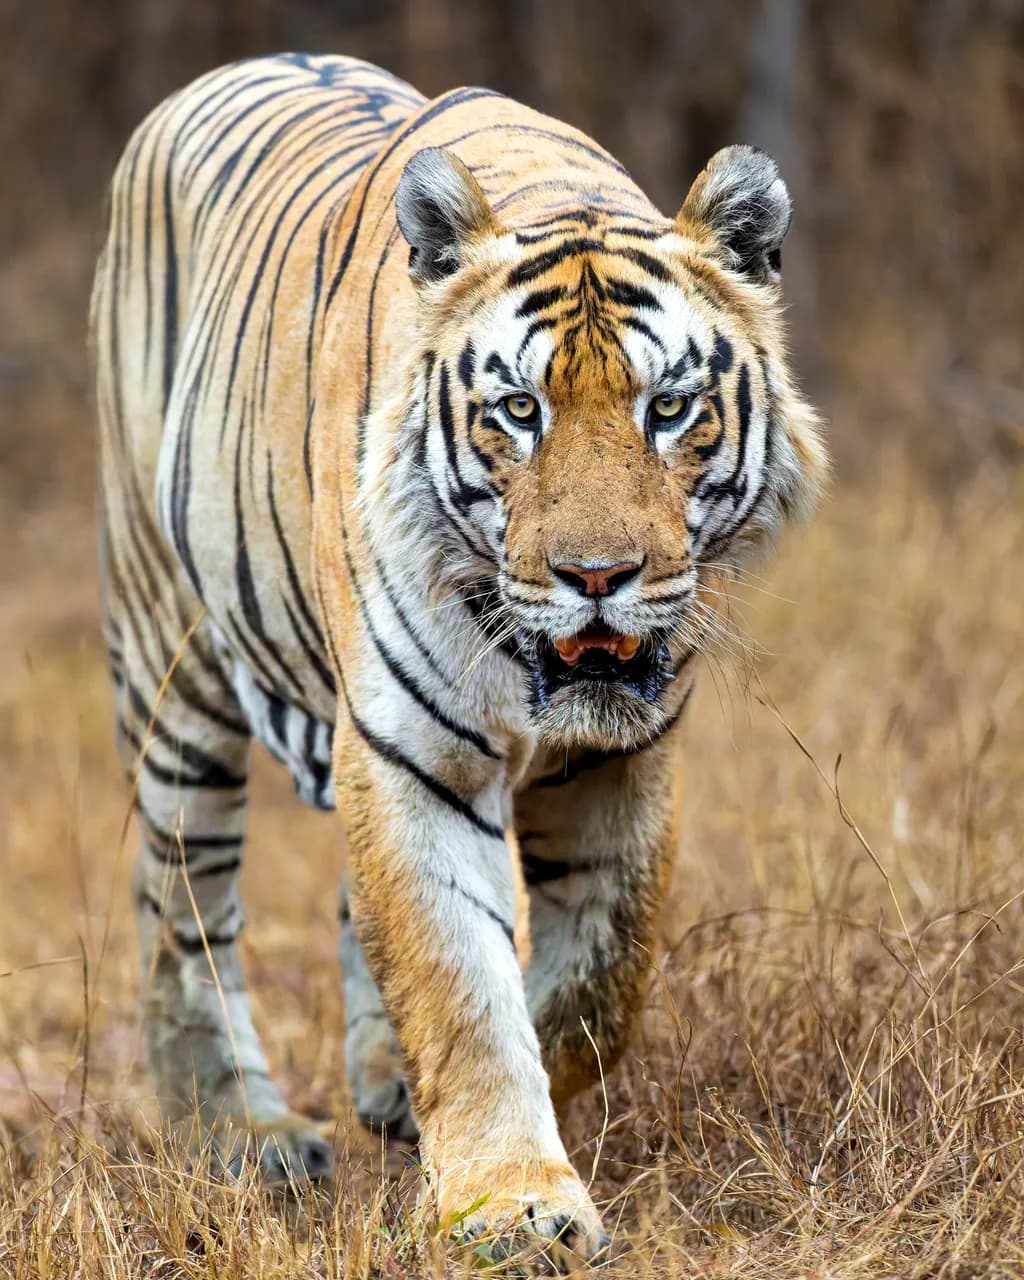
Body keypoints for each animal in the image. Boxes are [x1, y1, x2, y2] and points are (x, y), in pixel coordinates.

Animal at [92, 51, 826, 1263]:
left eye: (670, 408)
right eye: (518, 410)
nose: (595, 575)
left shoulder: (629, 764)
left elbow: (594, 982)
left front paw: (476, 1122)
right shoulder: (412, 757)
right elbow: (463, 987)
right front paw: (511, 1205)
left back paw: (379, 1084)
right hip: (174, 658)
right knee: (180, 905)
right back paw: (239, 1130)